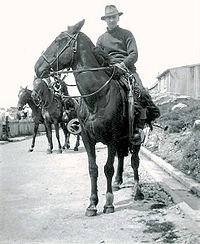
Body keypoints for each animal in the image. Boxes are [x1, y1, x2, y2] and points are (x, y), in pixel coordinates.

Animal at [34, 20, 144, 215]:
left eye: (59, 40)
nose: (37, 67)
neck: (96, 97)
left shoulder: (112, 138)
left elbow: (108, 168)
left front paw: (108, 203)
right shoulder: (87, 138)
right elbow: (93, 169)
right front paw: (92, 203)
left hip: (135, 138)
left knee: (134, 161)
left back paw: (137, 191)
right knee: (122, 157)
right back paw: (118, 182)